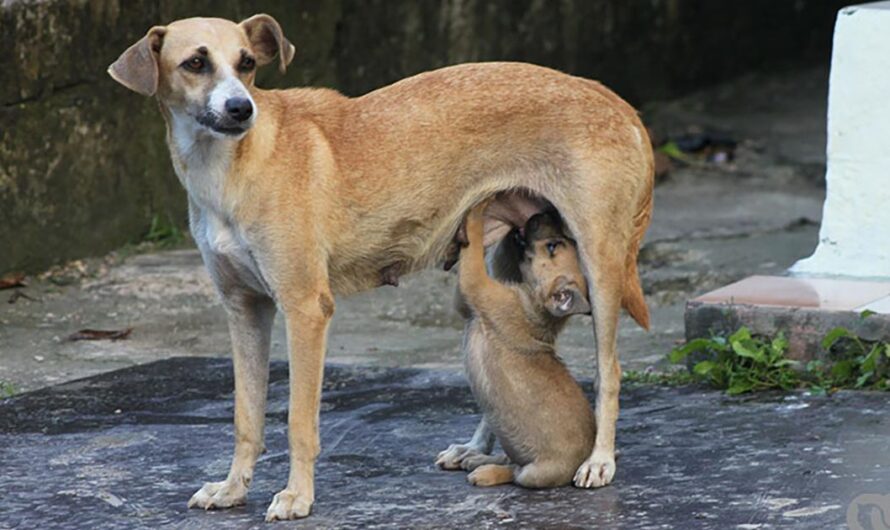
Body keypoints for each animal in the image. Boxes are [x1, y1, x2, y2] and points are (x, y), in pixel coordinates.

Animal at [440, 201, 592, 486]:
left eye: (552, 247)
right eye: (561, 242)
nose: (546, 212)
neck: (536, 304)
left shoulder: (478, 284)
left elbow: (473, 246)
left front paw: (478, 209)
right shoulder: (466, 304)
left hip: (535, 473)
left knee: (514, 472)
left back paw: (485, 472)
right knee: (507, 459)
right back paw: (475, 458)